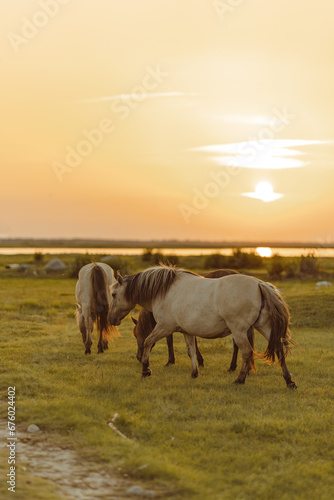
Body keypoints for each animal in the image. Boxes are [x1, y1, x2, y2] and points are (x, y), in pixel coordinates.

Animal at [107, 264, 298, 388]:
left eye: (114, 294)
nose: (111, 319)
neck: (165, 291)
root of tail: (259, 284)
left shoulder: (164, 328)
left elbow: (148, 342)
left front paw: (146, 369)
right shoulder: (186, 331)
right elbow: (191, 350)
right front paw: (194, 373)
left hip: (239, 331)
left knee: (246, 352)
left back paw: (240, 379)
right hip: (265, 327)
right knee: (279, 348)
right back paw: (289, 381)